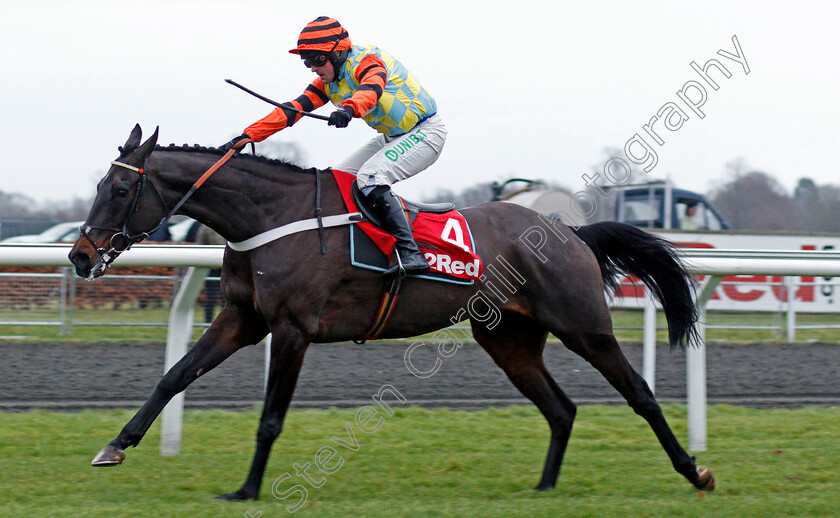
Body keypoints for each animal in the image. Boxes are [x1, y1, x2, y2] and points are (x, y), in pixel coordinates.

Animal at [67, 124, 716, 502]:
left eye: (120, 191)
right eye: (98, 186)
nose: (80, 256)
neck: (269, 216)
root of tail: (570, 231)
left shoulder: (292, 329)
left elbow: (270, 417)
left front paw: (248, 489)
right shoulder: (242, 320)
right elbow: (174, 376)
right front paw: (115, 445)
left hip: (583, 325)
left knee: (640, 395)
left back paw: (694, 471)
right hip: (508, 338)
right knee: (561, 409)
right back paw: (543, 487)